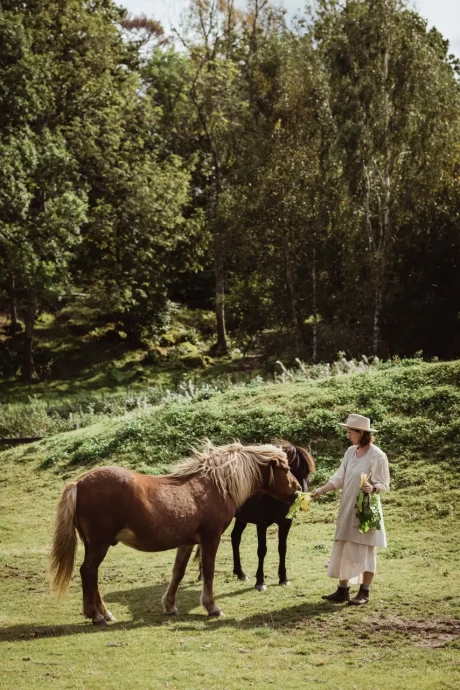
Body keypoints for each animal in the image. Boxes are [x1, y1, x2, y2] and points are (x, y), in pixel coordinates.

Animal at [50, 440, 300, 624]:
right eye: (286, 469)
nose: (297, 490)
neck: (214, 485)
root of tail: (79, 483)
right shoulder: (211, 538)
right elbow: (208, 571)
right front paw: (212, 607)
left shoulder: (187, 542)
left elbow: (177, 572)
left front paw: (169, 606)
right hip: (99, 544)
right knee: (88, 571)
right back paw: (96, 616)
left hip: (94, 544)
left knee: (91, 574)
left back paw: (102, 613)